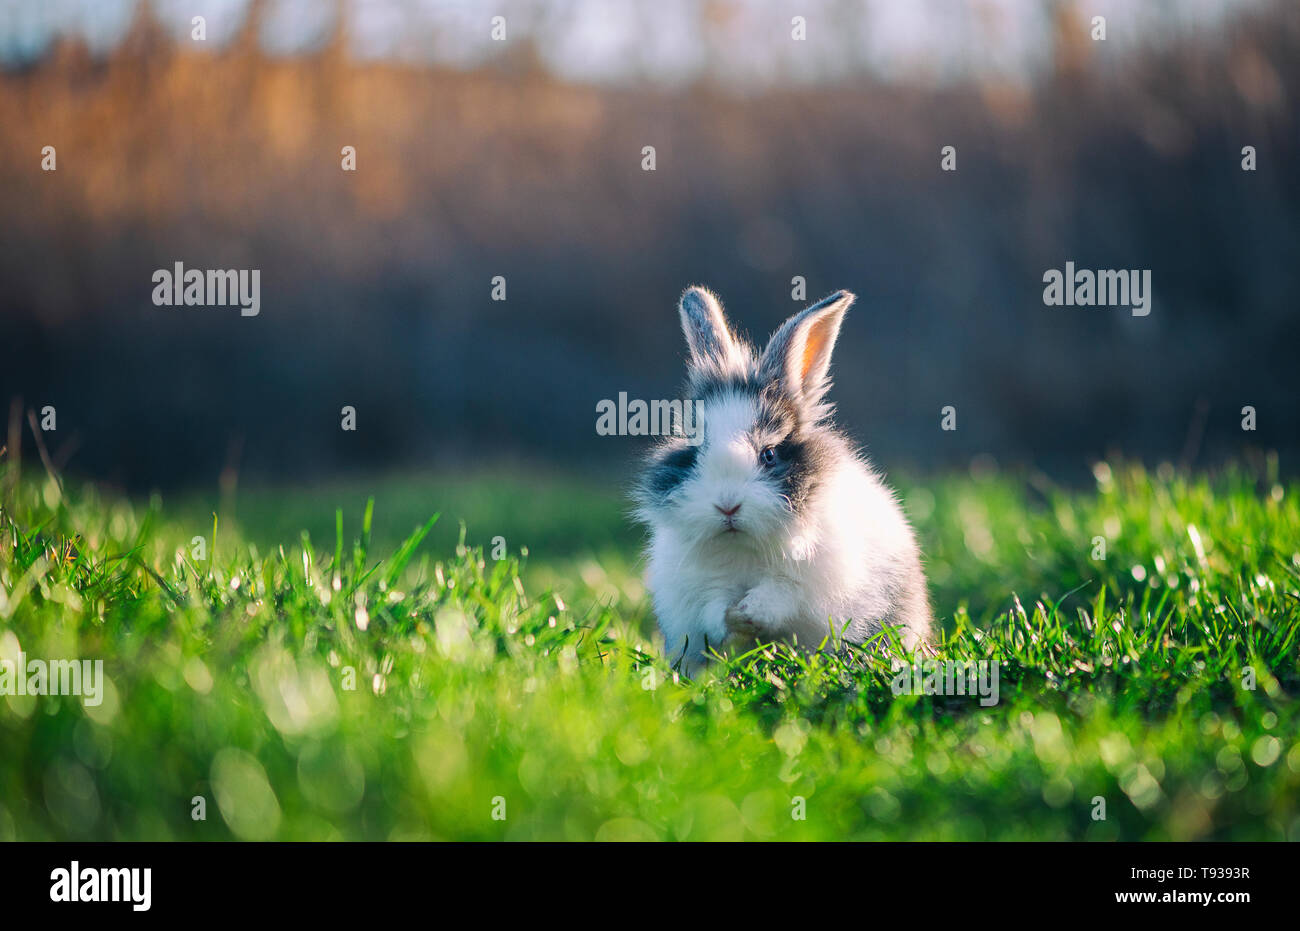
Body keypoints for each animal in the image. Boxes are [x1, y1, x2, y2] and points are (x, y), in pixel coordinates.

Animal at [631, 286, 930, 676]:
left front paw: (747, 612)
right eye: (695, 453)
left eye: (769, 454)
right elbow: (714, 605)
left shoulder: (805, 585)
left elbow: (780, 596)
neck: (744, 544)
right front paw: (732, 617)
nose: (727, 507)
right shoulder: (700, 588)